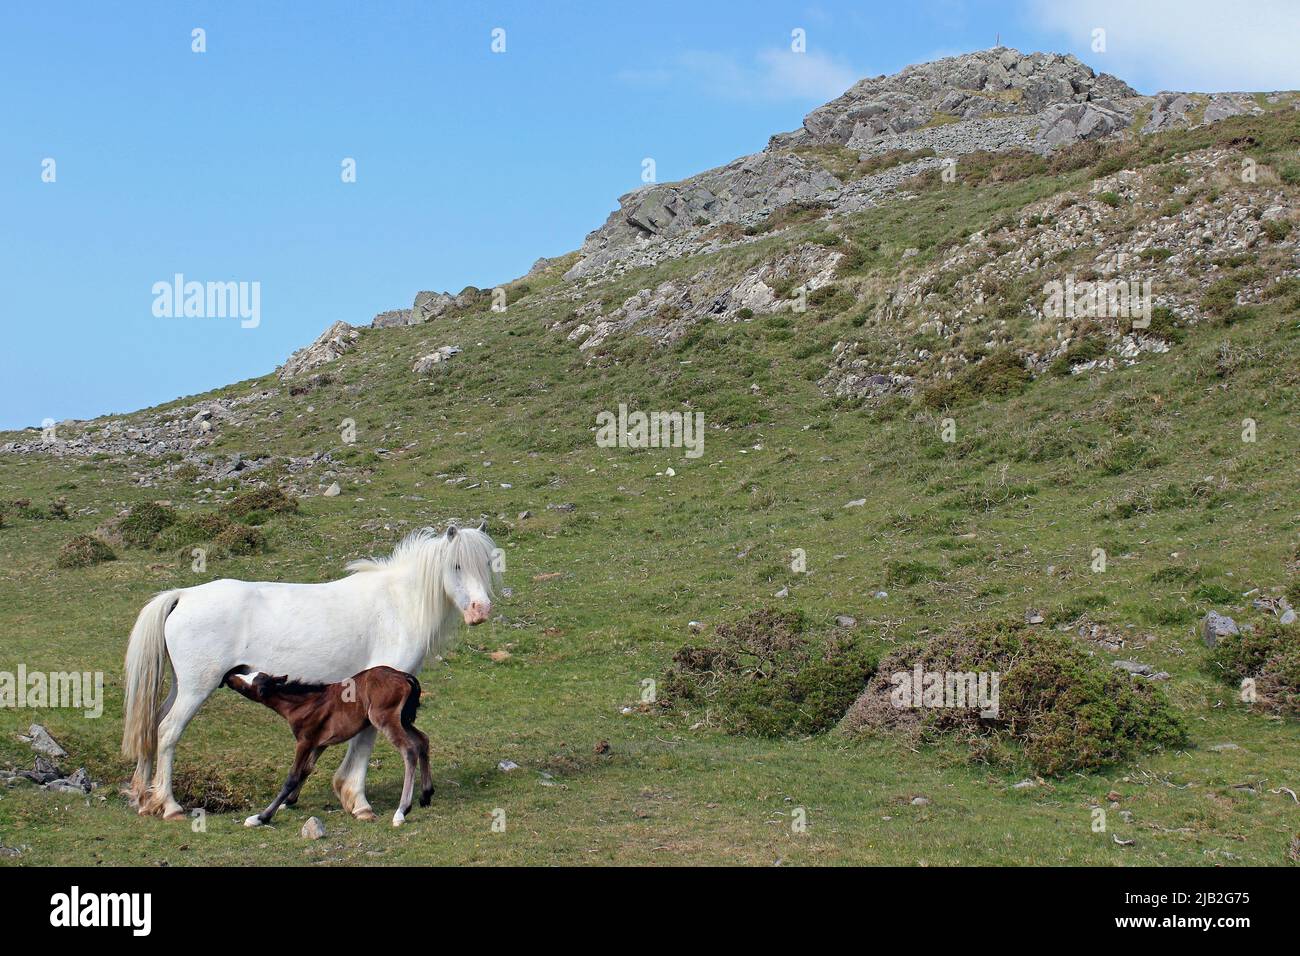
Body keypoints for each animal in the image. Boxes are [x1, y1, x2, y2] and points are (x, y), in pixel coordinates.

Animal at [222, 665, 432, 828]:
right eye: (251, 675)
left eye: (248, 685)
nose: (229, 676)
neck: (301, 704)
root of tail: (404, 676)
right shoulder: (319, 743)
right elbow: (306, 770)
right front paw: (289, 802)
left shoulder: (305, 741)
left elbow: (292, 776)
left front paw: (261, 817)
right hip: (403, 720)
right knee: (423, 740)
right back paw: (426, 795)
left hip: (385, 719)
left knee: (409, 750)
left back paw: (401, 811)